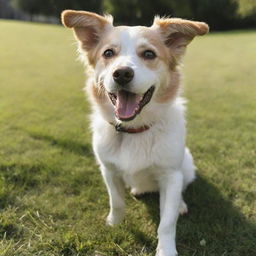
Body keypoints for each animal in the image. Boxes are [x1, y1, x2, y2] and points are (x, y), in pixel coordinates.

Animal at [61, 10, 208, 256]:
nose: (121, 74)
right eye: (108, 53)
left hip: (186, 165)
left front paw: (166, 250)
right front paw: (114, 224)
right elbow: (116, 202)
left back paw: (180, 204)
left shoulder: (171, 175)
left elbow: (167, 222)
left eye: (149, 54)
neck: (134, 130)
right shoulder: (109, 170)